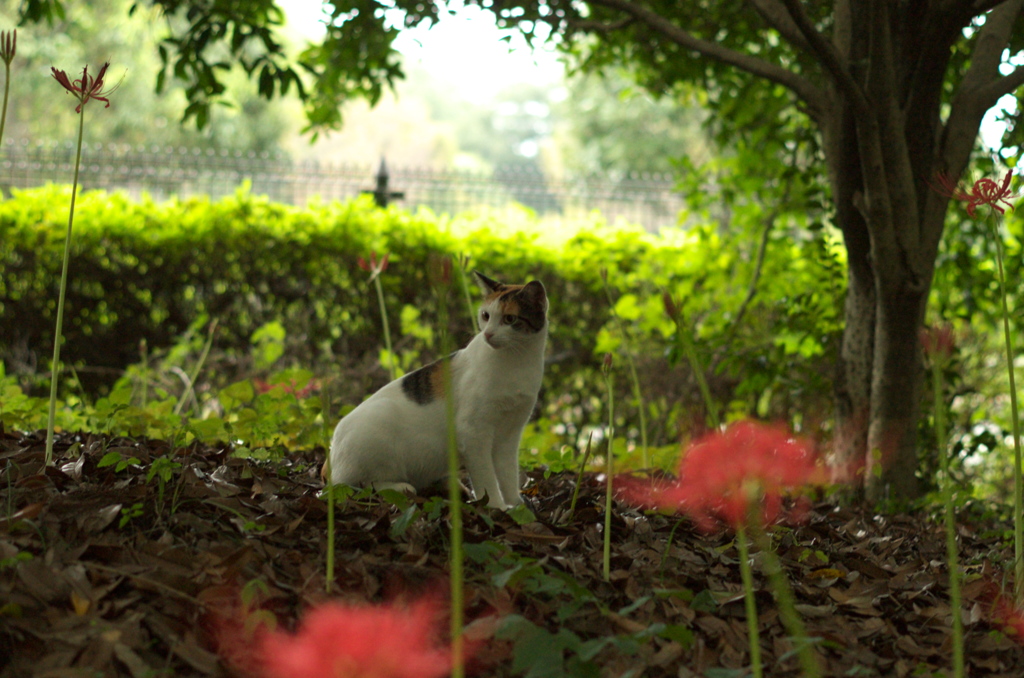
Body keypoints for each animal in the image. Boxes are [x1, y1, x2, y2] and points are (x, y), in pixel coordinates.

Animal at [323, 270, 548, 510]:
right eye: (486, 315)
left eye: (509, 319)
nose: (488, 334)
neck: (517, 362)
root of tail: (331, 454)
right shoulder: (473, 433)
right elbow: (486, 478)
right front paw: (496, 507)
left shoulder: (510, 434)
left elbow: (508, 474)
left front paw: (516, 505)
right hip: (379, 421)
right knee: (357, 485)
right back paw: (401, 487)